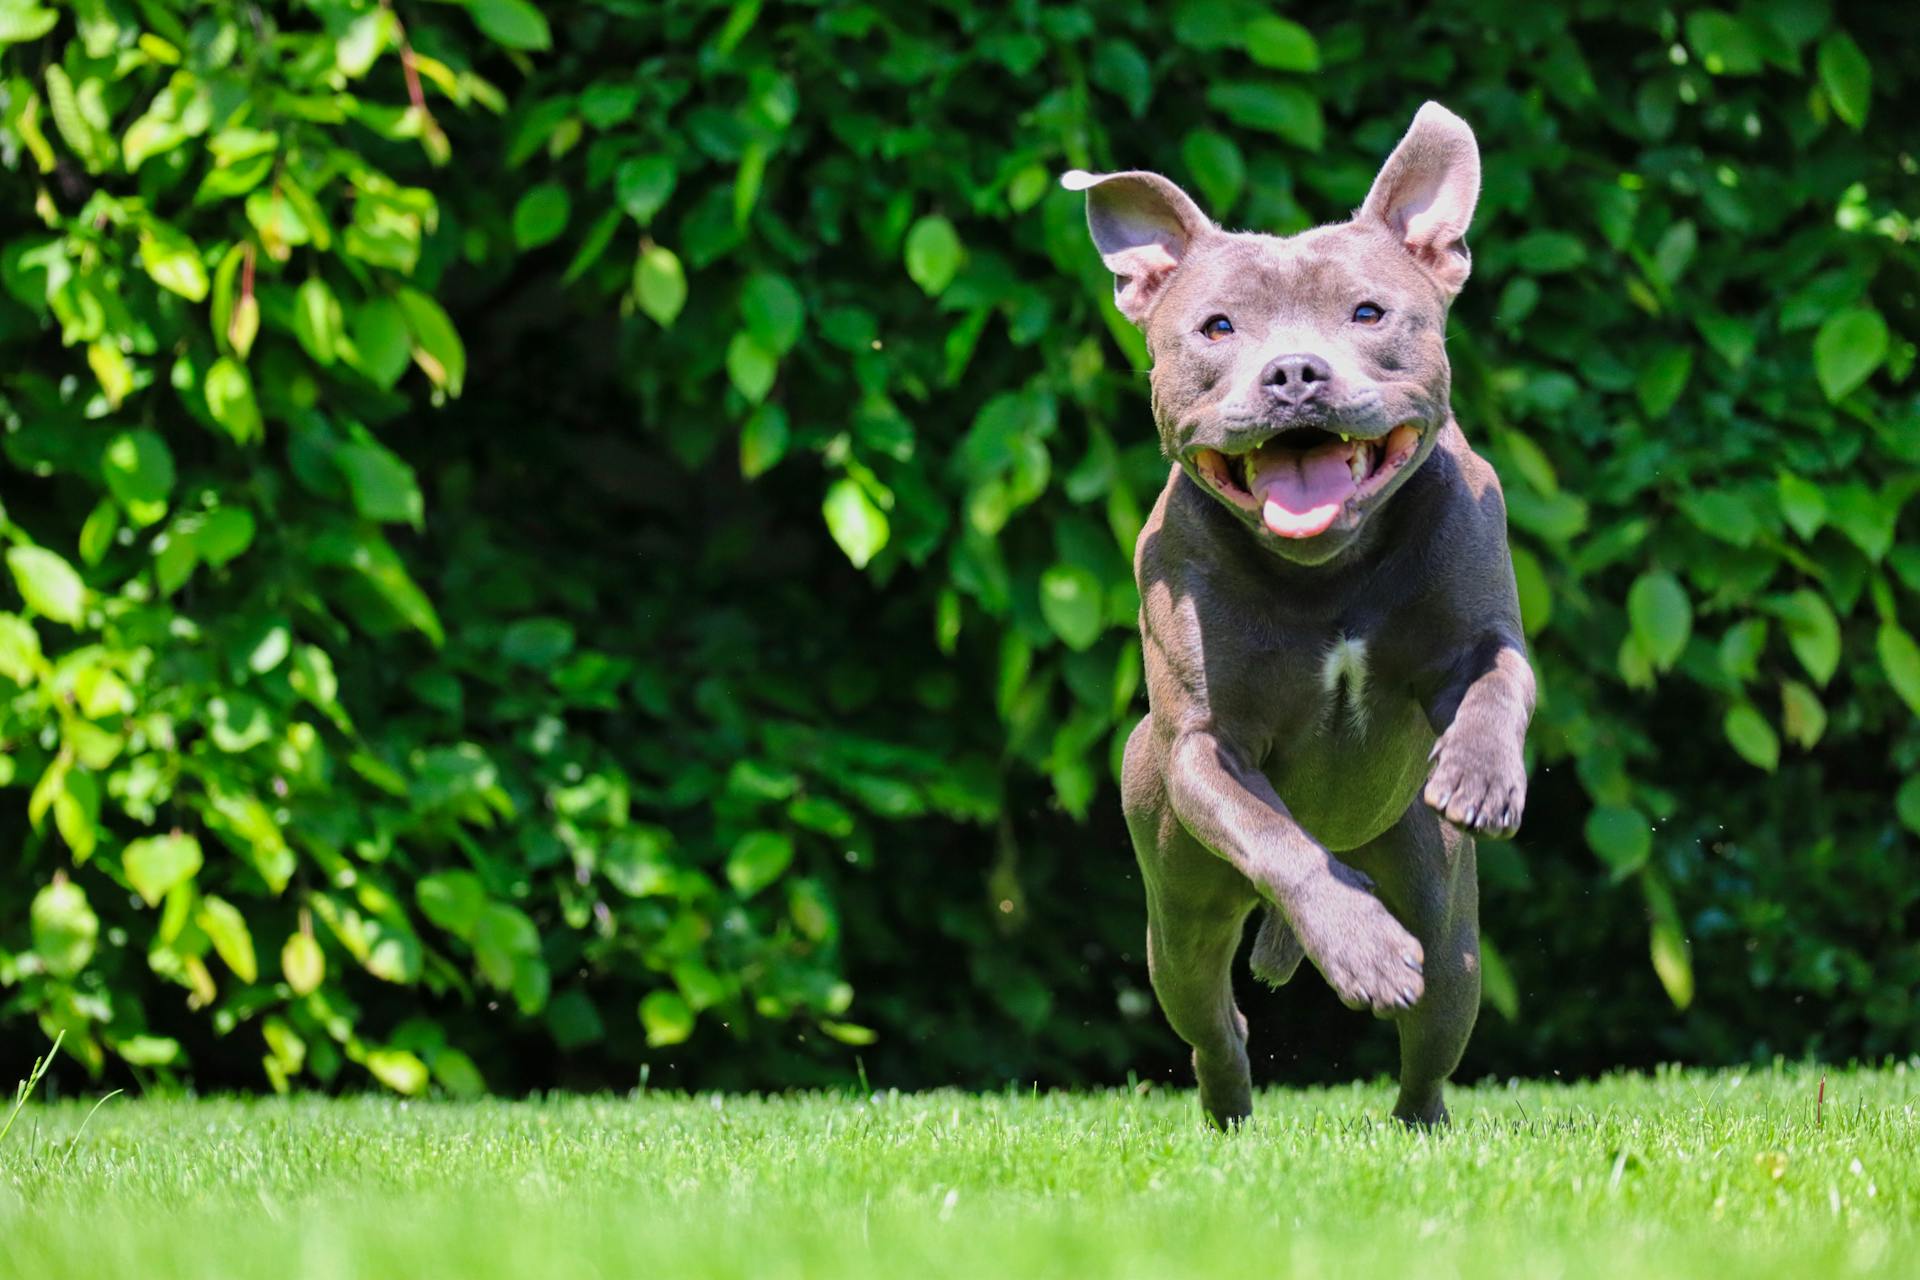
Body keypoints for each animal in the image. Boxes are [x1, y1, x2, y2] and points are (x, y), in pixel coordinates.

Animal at [1067, 105, 1528, 1128]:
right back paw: (1232, 1113)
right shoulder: (1204, 748)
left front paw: (1479, 774)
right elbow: (1279, 838)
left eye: (1368, 312)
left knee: (1432, 1035)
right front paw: (1361, 948)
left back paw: (1423, 1131)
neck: (1326, 569)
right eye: (1217, 326)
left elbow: (1497, 683)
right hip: (1179, 916)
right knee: (1214, 1021)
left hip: (1447, 920)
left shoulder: (1483, 629)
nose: (1293, 373)